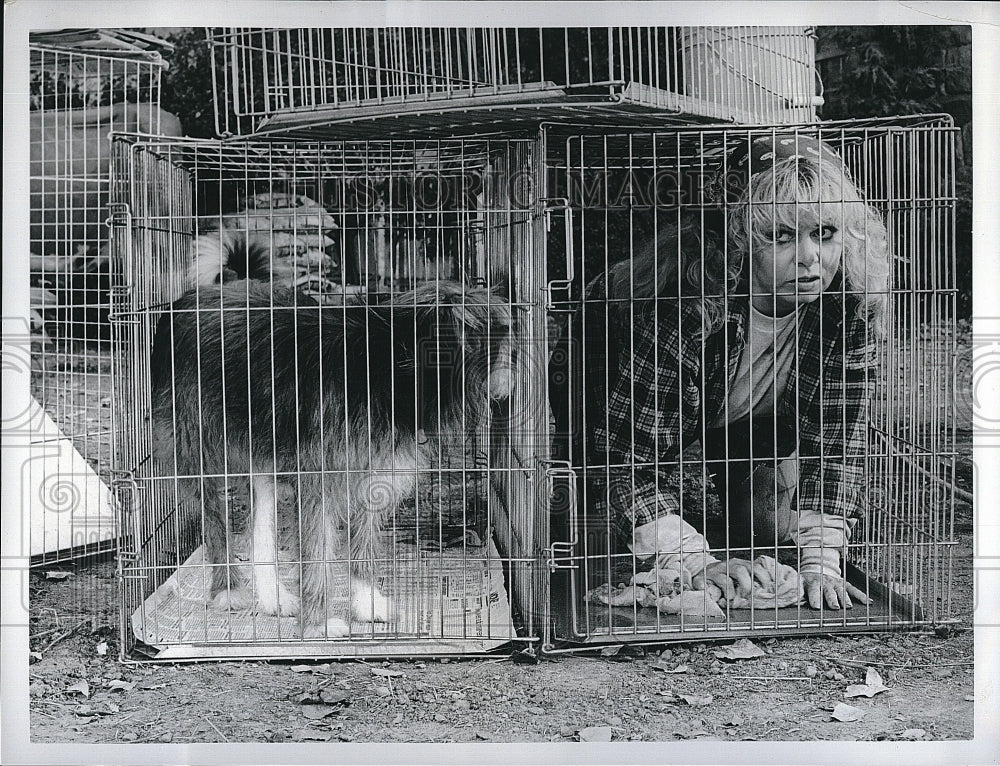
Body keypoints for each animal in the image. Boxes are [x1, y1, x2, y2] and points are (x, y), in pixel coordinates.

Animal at [152, 280, 520, 640]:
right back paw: (229, 588)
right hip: (198, 444)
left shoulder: (376, 474)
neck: (386, 369)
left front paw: (367, 603)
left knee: (259, 525)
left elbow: (364, 547)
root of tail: (191, 296)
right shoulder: (319, 482)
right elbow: (316, 555)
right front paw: (319, 624)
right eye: (499, 335)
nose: (516, 378)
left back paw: (274, 598)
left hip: (262, 449)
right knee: (213, 520)